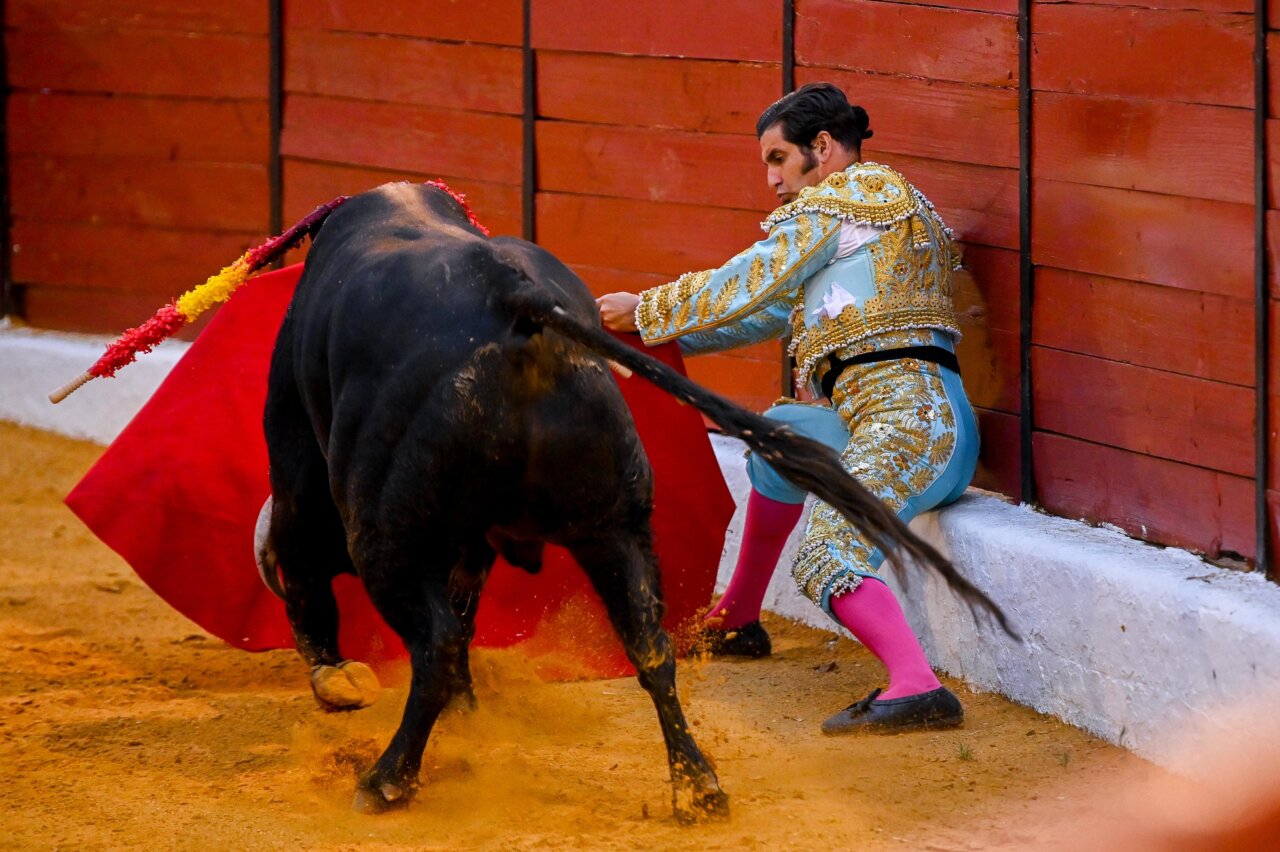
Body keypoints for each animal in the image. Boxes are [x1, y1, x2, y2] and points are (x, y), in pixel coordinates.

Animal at [258, 181, 1010, 822]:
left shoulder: (306, 462)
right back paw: (698, 787)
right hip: (614, 527)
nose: (324, 669)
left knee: (436, 644)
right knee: (649, 646)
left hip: (390, 539)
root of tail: (515, 302)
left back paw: (386, 781)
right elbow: (472, 609)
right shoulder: (481, 540)